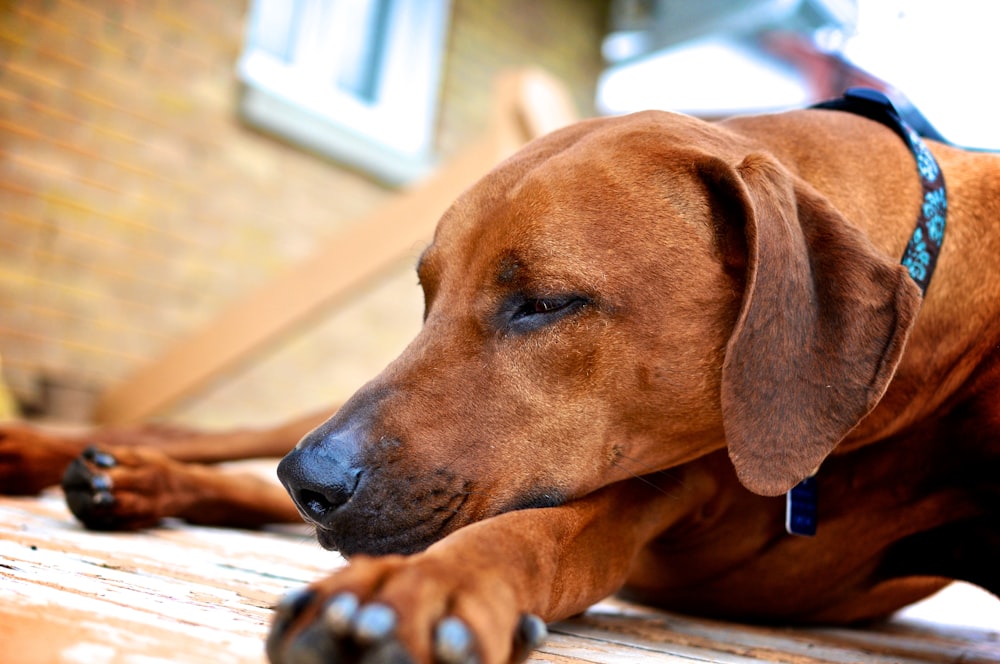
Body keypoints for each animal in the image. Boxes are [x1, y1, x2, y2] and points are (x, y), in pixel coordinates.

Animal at [0, 93, 996, 664]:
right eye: (427, 294)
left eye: (545, 304)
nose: (311, 479)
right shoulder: (658, 473)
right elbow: (532, 534)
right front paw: (419, 589)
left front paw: (409, 589)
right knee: (215, 441)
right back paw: (85, 461)